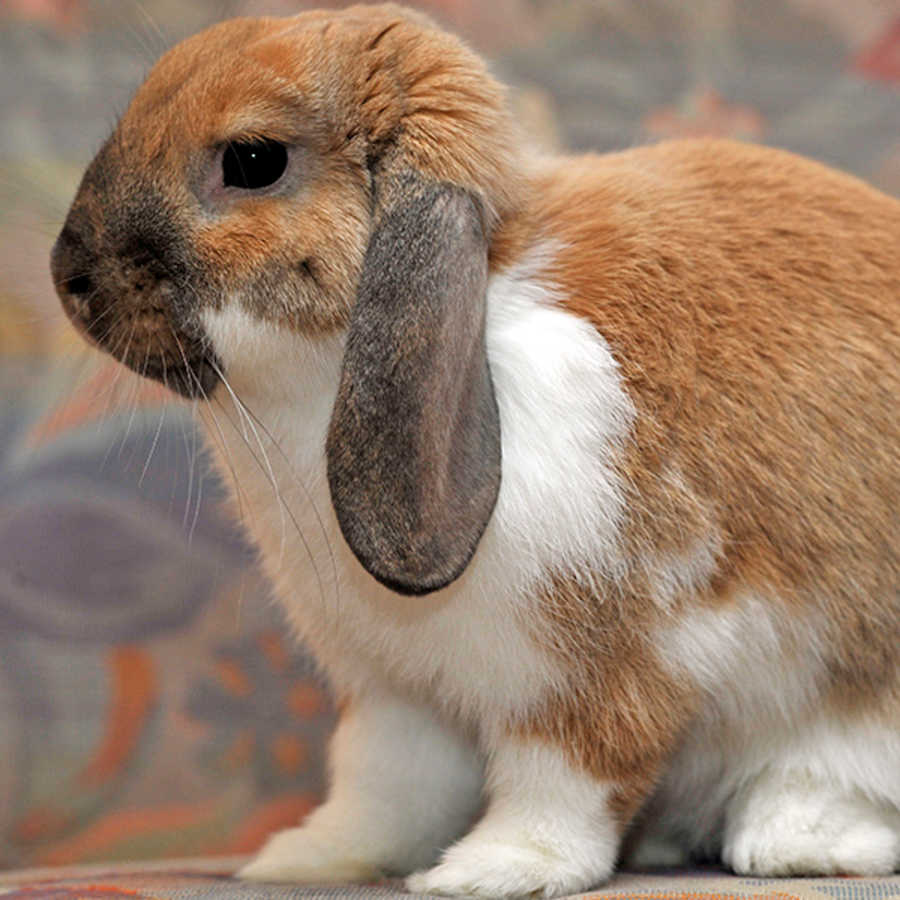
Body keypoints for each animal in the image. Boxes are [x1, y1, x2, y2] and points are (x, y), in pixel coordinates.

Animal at [50, 4, 900, 897]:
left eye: (253, 160)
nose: (68, 273)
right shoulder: (395, 692)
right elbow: (383, 785)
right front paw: (308, 857)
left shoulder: (595, 668)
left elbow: (568, 779)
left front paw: (494, 868)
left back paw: (795, 840)